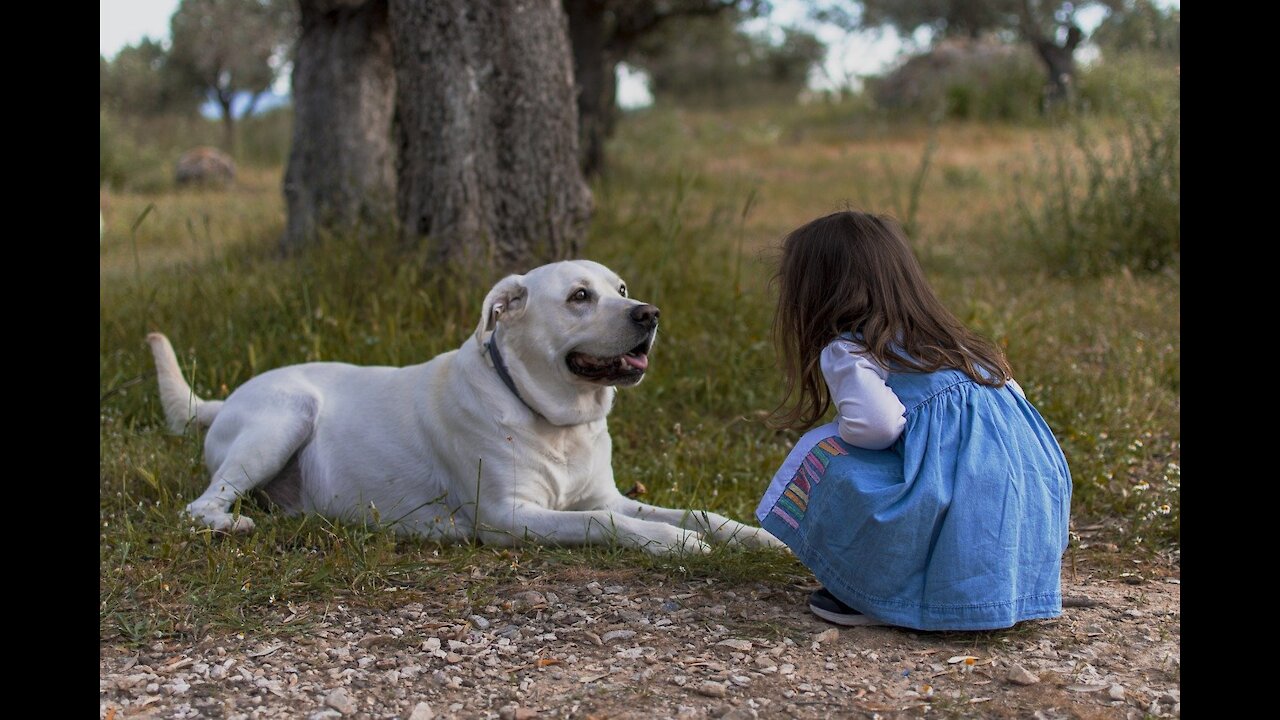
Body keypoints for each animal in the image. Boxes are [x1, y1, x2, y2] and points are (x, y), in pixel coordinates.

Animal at [145, 260, 773, 550]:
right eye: (579, 296)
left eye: (620, 289)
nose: (650, 314)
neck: (557, 422)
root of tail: (223, 400)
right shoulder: (508, 516)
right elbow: (603, 522)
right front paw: (675, 543)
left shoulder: (607, 494)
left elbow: (695, 511)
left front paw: (754, 536)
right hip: (285, 416)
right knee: (199, 506)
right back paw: (230, 524)